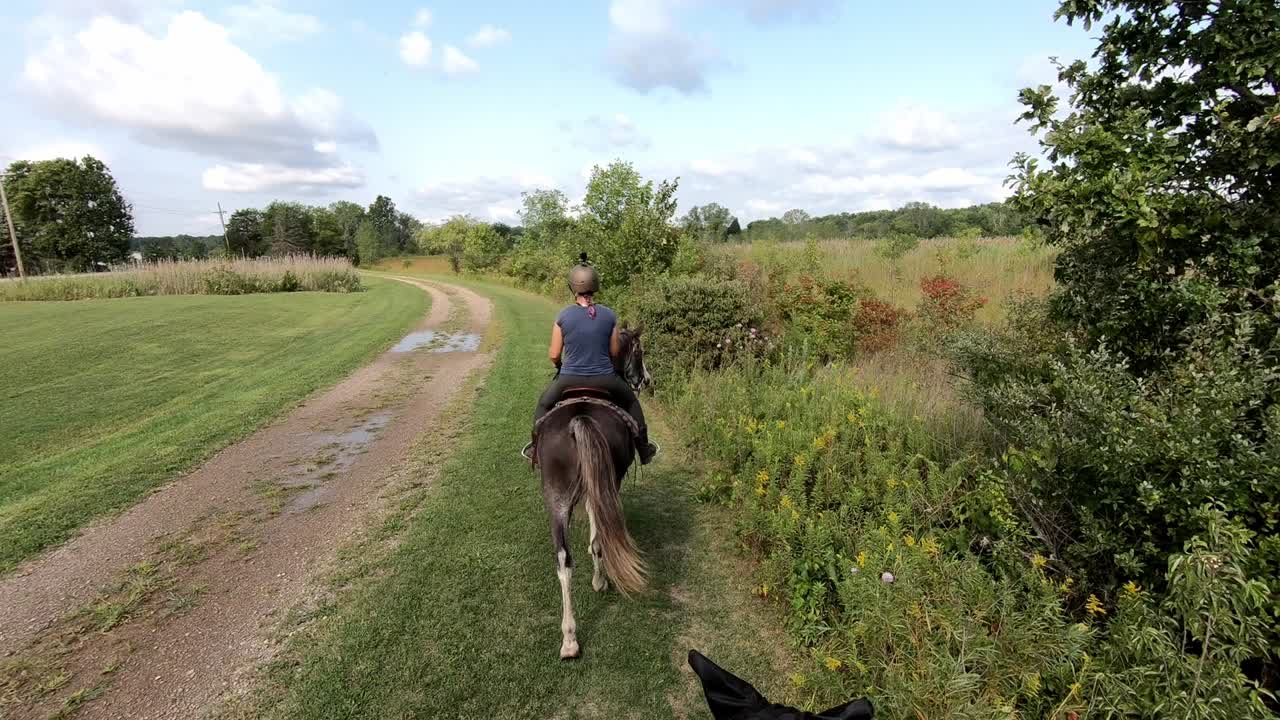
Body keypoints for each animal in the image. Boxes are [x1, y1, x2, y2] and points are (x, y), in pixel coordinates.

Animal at [534, 324, 651, 659]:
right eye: (639, 351)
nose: (646, 380)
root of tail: (579, 420)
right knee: (596, 541)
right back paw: (600, 582)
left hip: (555, 497)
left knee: (563, 560)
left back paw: (570, 639)